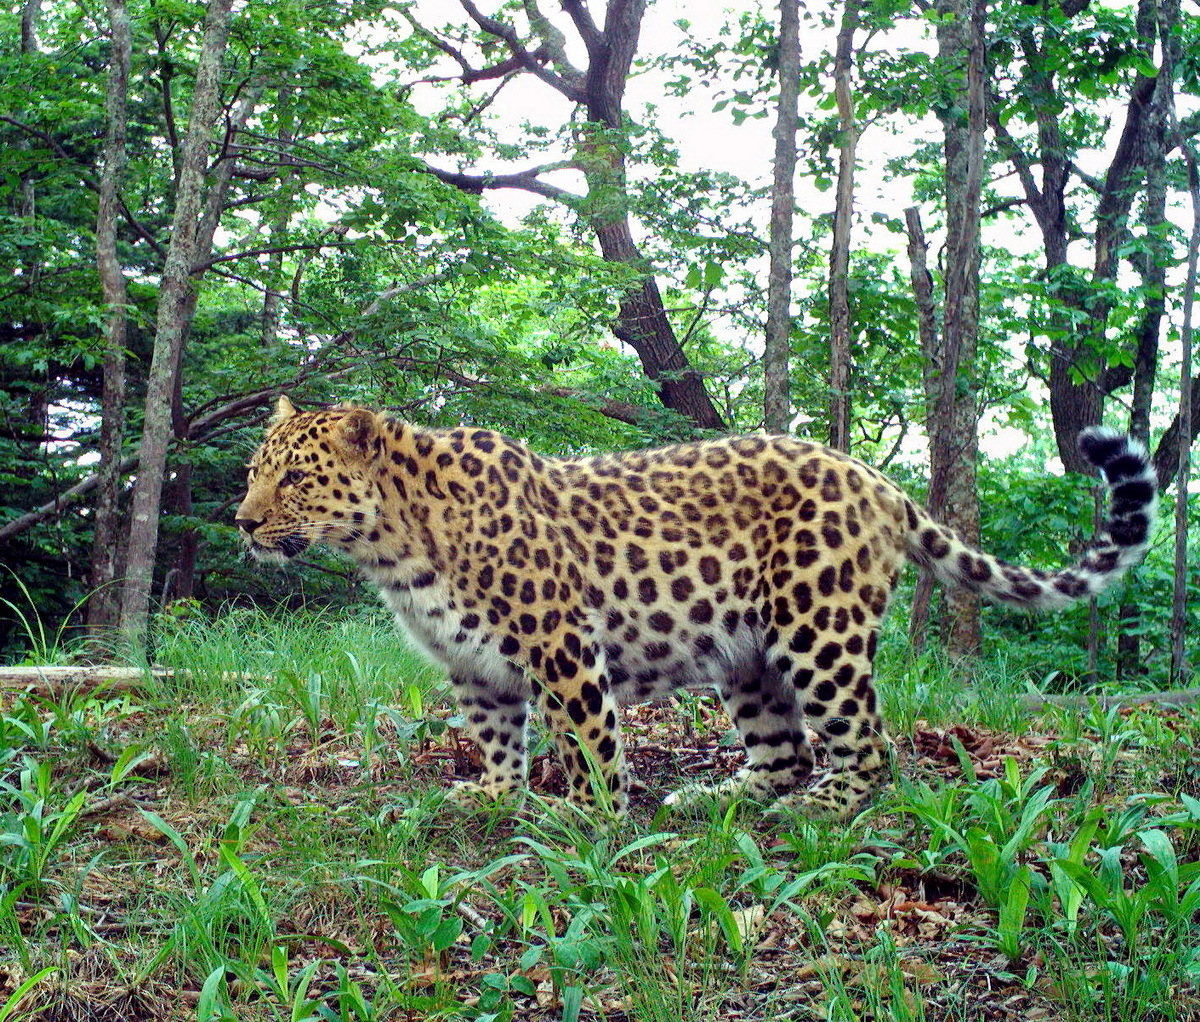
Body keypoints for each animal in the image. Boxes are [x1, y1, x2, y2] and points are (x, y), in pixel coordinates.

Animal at [229, 395, 1156, 820]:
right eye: (252, 471)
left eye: (297, 478)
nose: (242, 520)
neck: (393, 546)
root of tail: (878, 479)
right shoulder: (473, 666)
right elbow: (496, 738)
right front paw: (491, 796)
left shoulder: (560, 640)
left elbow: (588, 737)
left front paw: (591, 817)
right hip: (748, 656)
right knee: (785, 749)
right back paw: (720, 798)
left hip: (819, 630)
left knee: (866, 745)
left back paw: (820, 811)